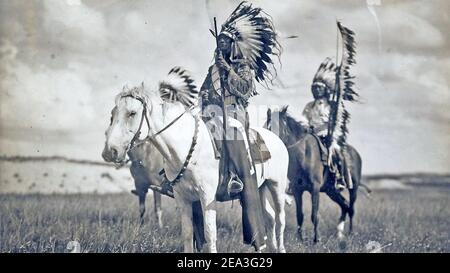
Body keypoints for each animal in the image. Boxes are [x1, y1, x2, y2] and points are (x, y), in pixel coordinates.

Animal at [102, 83, 288, 253]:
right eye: (112, 113)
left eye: (132, 113)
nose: (110, 152)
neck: (186, 148)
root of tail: (275, 137)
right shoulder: (183, 198)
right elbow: (187, 233)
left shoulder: (207, 197)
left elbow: (210, 234)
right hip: (261, 188)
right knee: (270, 217)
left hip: (276, 186)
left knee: (280, 219)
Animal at [264, 105, 362, 241]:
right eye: (266, 127)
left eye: (278, 127)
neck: (304, 155)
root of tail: (355, 154)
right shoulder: (297, 190)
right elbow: (300, 215)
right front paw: (300, 239)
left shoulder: (315, 189)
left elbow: (314, 215)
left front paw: (316, 240)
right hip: (331, 191)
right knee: (345, 205)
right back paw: (339, 234)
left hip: (354, 188)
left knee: (351, 208)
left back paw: (351, 233)